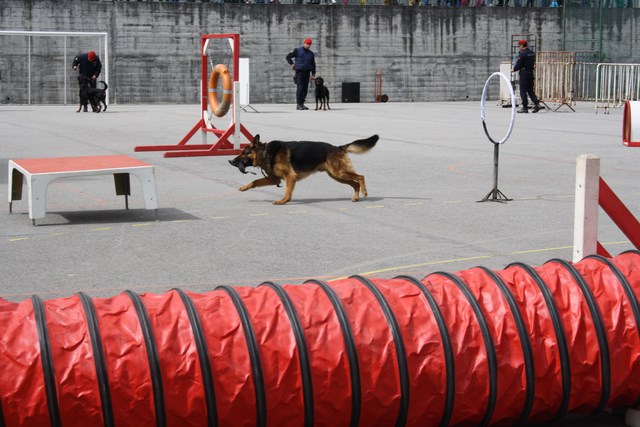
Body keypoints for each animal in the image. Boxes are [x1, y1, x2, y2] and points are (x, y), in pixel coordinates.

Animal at [230, 135, 378, 206]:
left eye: (244, 152)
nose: (231, 161)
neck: (265, 152)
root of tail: (338, 147)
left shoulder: (290, 177)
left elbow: (287, 192)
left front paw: (282, 201)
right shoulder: (274, 179)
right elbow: (254, 181)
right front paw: (244, 187)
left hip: (339, 173)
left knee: (360, 177)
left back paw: (364, 192)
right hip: (337, 176)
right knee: (355, 184)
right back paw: (356, 197)